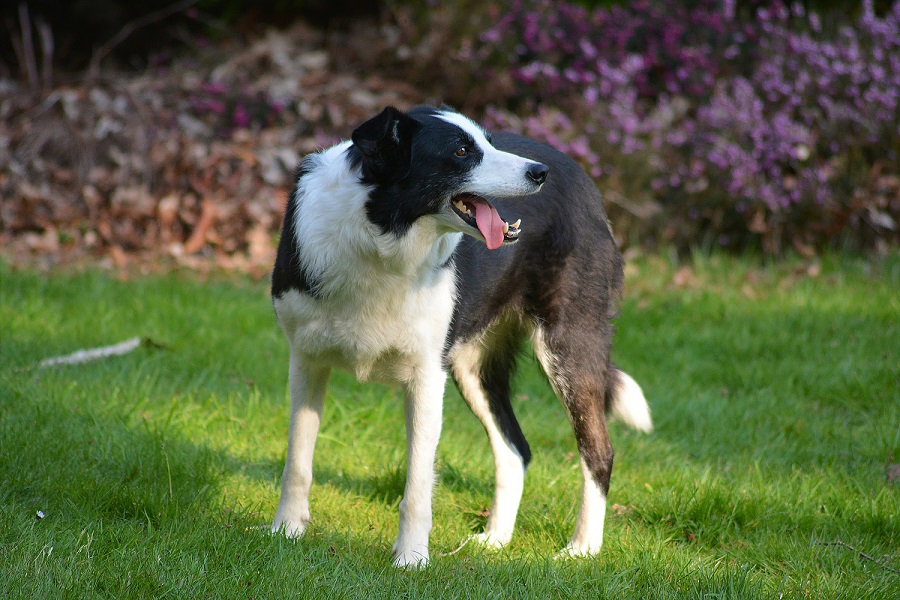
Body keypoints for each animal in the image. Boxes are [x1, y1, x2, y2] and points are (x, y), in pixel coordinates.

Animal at [270, 104, 652, 568]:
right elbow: (297, 460)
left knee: (598, 450)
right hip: (474, 366)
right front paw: (285, 533)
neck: (380, 236)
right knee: (515, 450)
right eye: (461, 151)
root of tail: (581, 176)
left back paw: (582, 549)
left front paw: (411, 560)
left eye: (486, 140)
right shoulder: (306, 361)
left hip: (568, 344)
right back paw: (495, 540)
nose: (539, 173)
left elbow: (418, 484)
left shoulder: (426, 376)